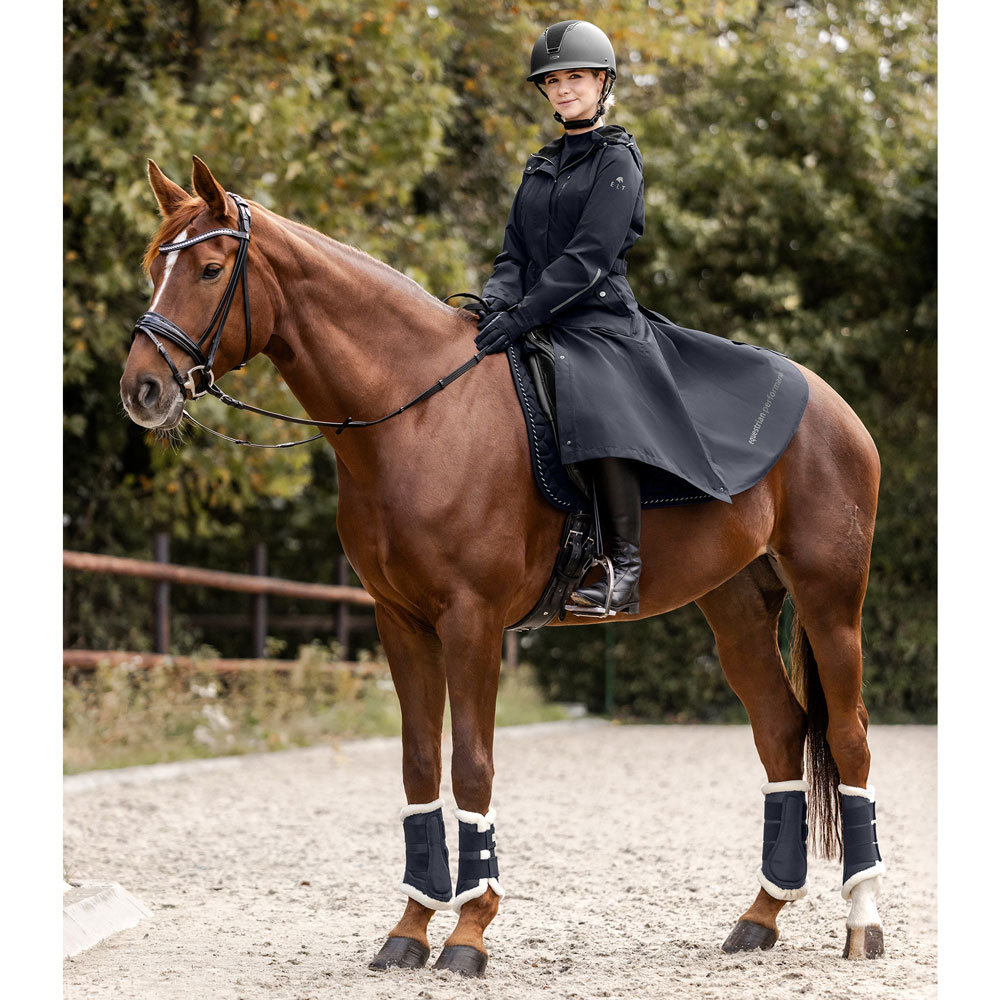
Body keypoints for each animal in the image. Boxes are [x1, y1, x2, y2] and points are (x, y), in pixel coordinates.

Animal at [120, 157, 885, 975]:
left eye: (208, 269)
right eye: (154, 267)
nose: (142, 390)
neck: (415, 413)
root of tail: (830, 403)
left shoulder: (473, 622)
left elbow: (472, 765)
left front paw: (468, 931)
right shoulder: (402, 623)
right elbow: (419, 765)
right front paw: (410, 927)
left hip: (830, 601)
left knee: (848, 736)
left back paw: (862, 922)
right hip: (736, 606)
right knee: (779, 731)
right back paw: (761, 916)